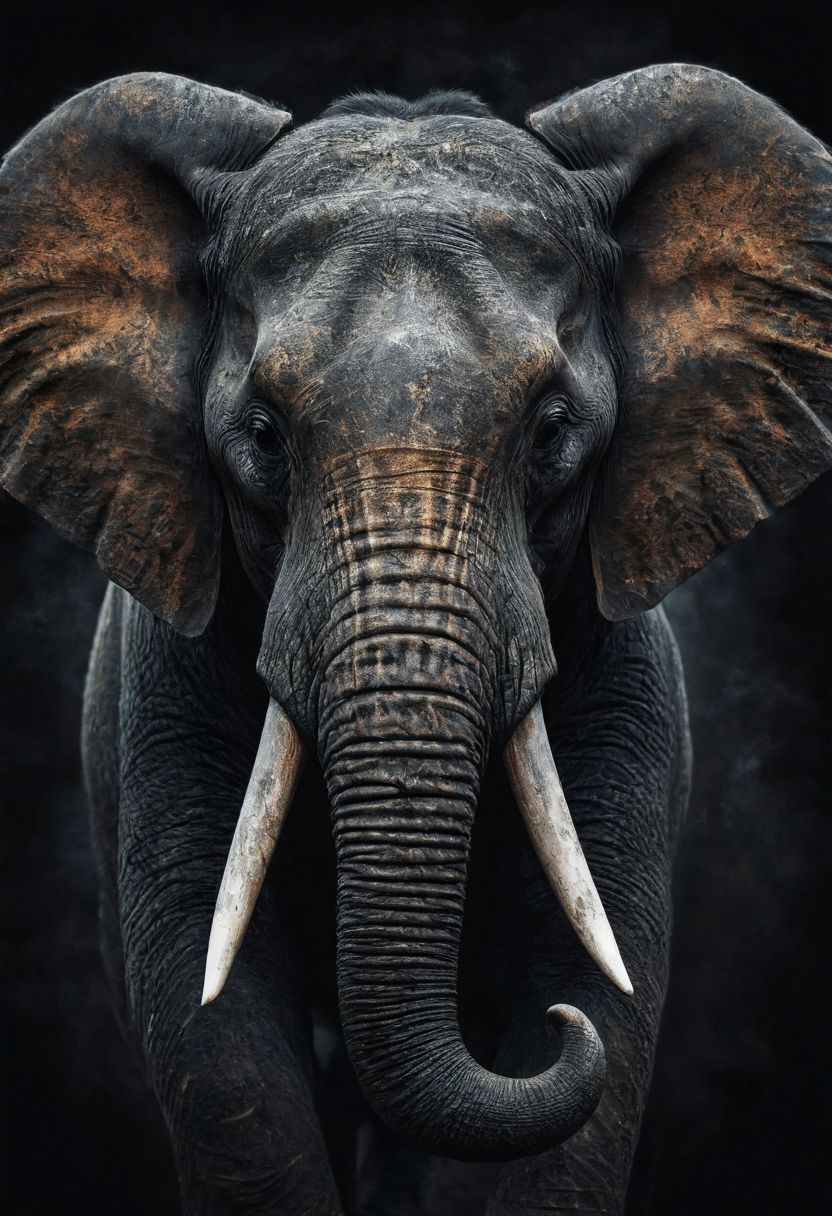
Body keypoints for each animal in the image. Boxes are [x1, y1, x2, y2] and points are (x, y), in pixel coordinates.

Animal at [1, 62, 830, 1214]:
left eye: (552, 431)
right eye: (261, 436)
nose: (552, 1042)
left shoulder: (620, 689)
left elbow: (599, 982)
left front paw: (569, 1013)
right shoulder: (163, 687)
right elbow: (218, 1037)